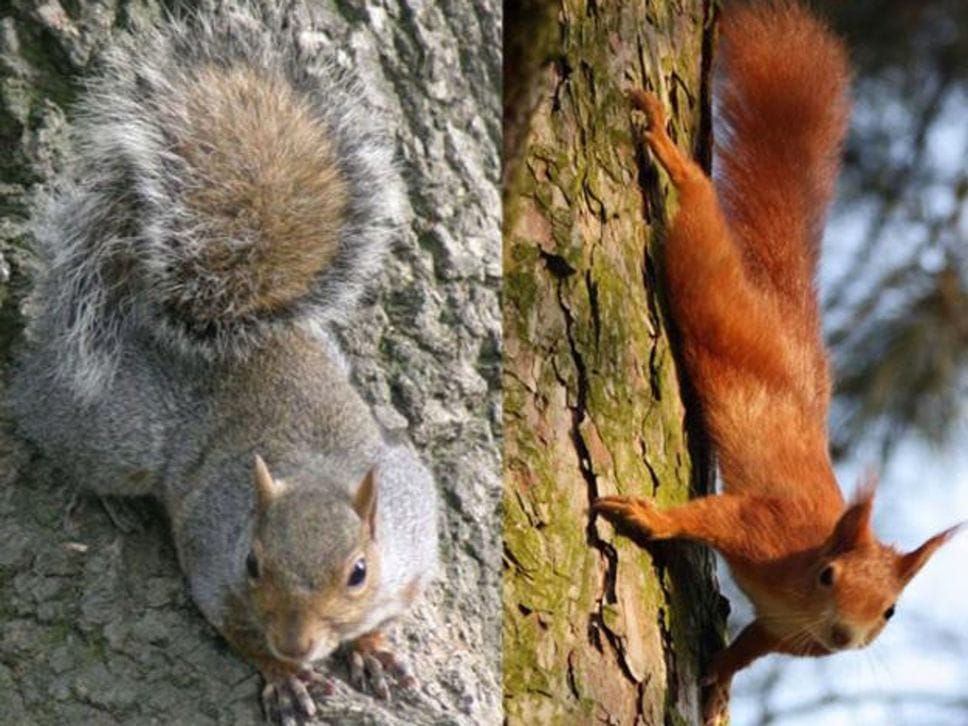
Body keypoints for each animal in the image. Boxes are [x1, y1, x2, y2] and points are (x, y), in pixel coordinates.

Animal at [8, 6, 438, 723]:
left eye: (358, 571)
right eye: (252, 565)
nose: (296, 644)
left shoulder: (412, 536)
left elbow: (391, 608)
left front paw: (373, 647)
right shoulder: (213, 553)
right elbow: (230, 626)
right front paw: (283, 675)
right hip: (114, 430)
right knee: (50, 426)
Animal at [592, 2, 963, 724]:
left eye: (891, 611)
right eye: (827, 575)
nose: (844, 637)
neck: (801, 597)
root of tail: (786, 305)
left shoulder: (781, 633)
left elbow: (746, 648)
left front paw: (718, 687)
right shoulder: (762, 528)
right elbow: (708, 518)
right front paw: (652, 518)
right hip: (709, 285)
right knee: (699, 215)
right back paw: (674, 157)